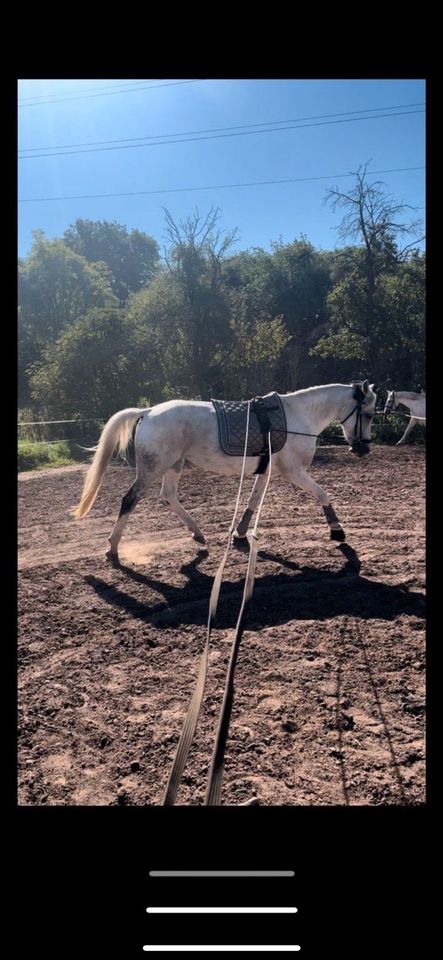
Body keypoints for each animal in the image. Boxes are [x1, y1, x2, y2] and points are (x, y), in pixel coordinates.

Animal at [73, 382, 378, 564]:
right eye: (369, 414)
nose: (363, 450)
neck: (297, 418)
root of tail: (148, 412)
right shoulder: (294, 471)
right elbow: (322, 494)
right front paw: (337, 530)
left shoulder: (266, 472)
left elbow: (252, 502)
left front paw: (240, 534)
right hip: (153, 468)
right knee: (129, 500)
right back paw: (112, 547)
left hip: (174, 465)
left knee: (168, 496)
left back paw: (198, 534)